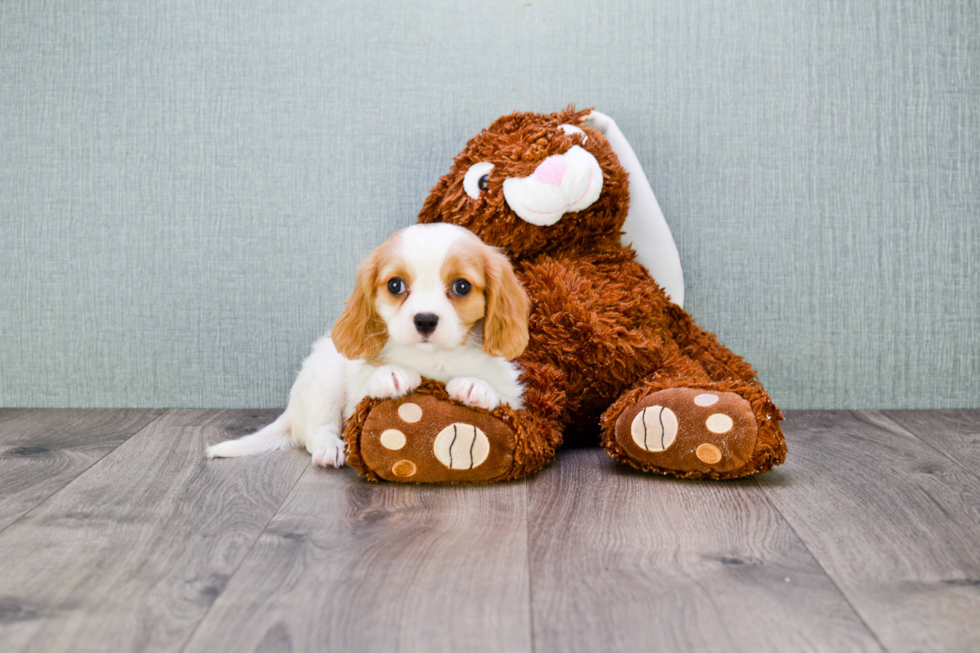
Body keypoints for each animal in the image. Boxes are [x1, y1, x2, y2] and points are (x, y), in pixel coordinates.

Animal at [205, 225, 528, 468]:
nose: (425, 320)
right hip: (326, 380)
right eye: (396, 285)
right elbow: (369, 379)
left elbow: (500, 393)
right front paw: (392, 375)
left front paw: (475, 386)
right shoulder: (356, 397)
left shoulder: (514, 398)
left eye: (461, 286)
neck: (434, 359)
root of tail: (292, 410)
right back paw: (330, 448)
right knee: (316, 432)